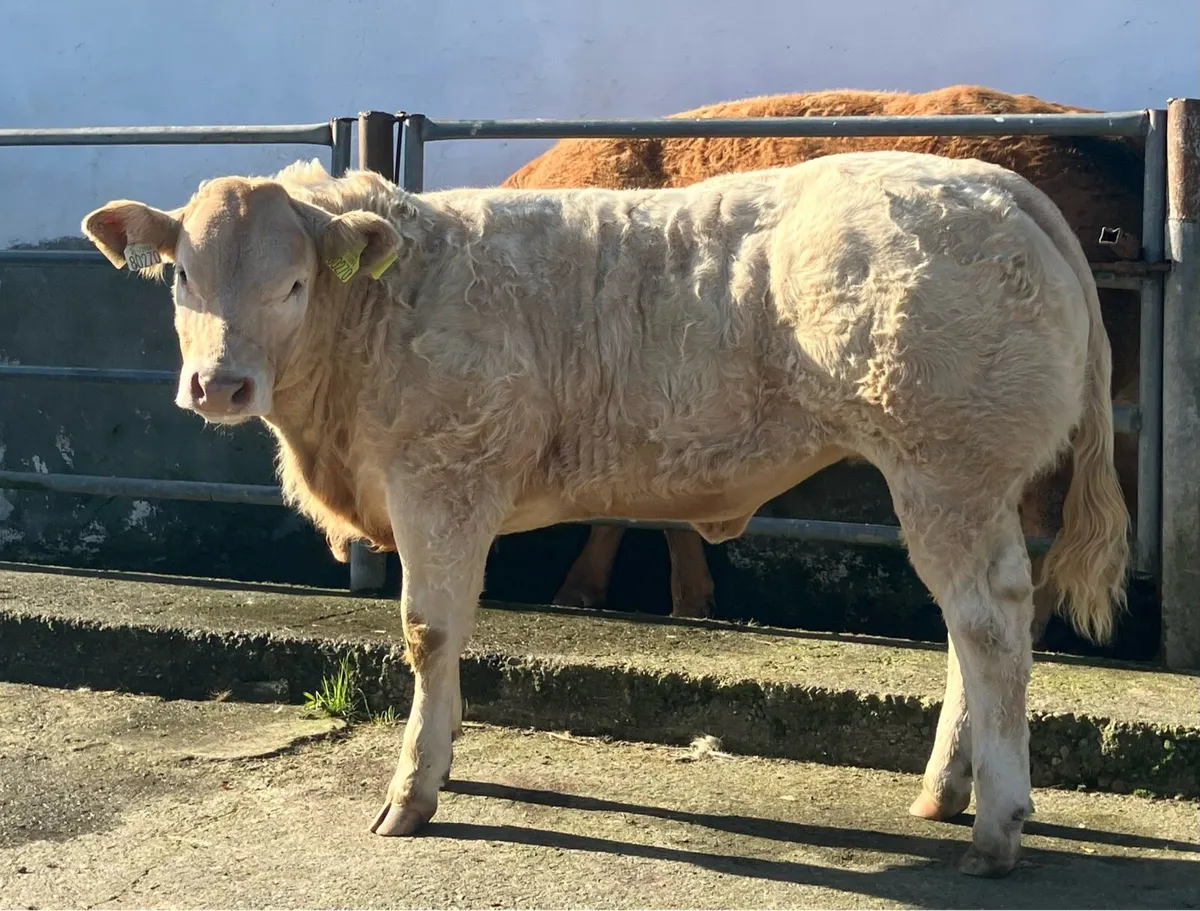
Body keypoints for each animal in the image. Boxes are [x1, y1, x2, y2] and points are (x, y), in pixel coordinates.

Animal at [82, 150, 1129, 877]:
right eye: (182, 276)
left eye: (293, 282)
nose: (219, 384)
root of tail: (994, 185)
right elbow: (454, 634)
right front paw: (445, 756)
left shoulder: (442, 477)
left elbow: (429, 629)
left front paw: (413, 789)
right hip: (966, 480)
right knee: (972, 622)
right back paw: (944, 791)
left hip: (947, 464)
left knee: (989, 621)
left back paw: (996, 825)